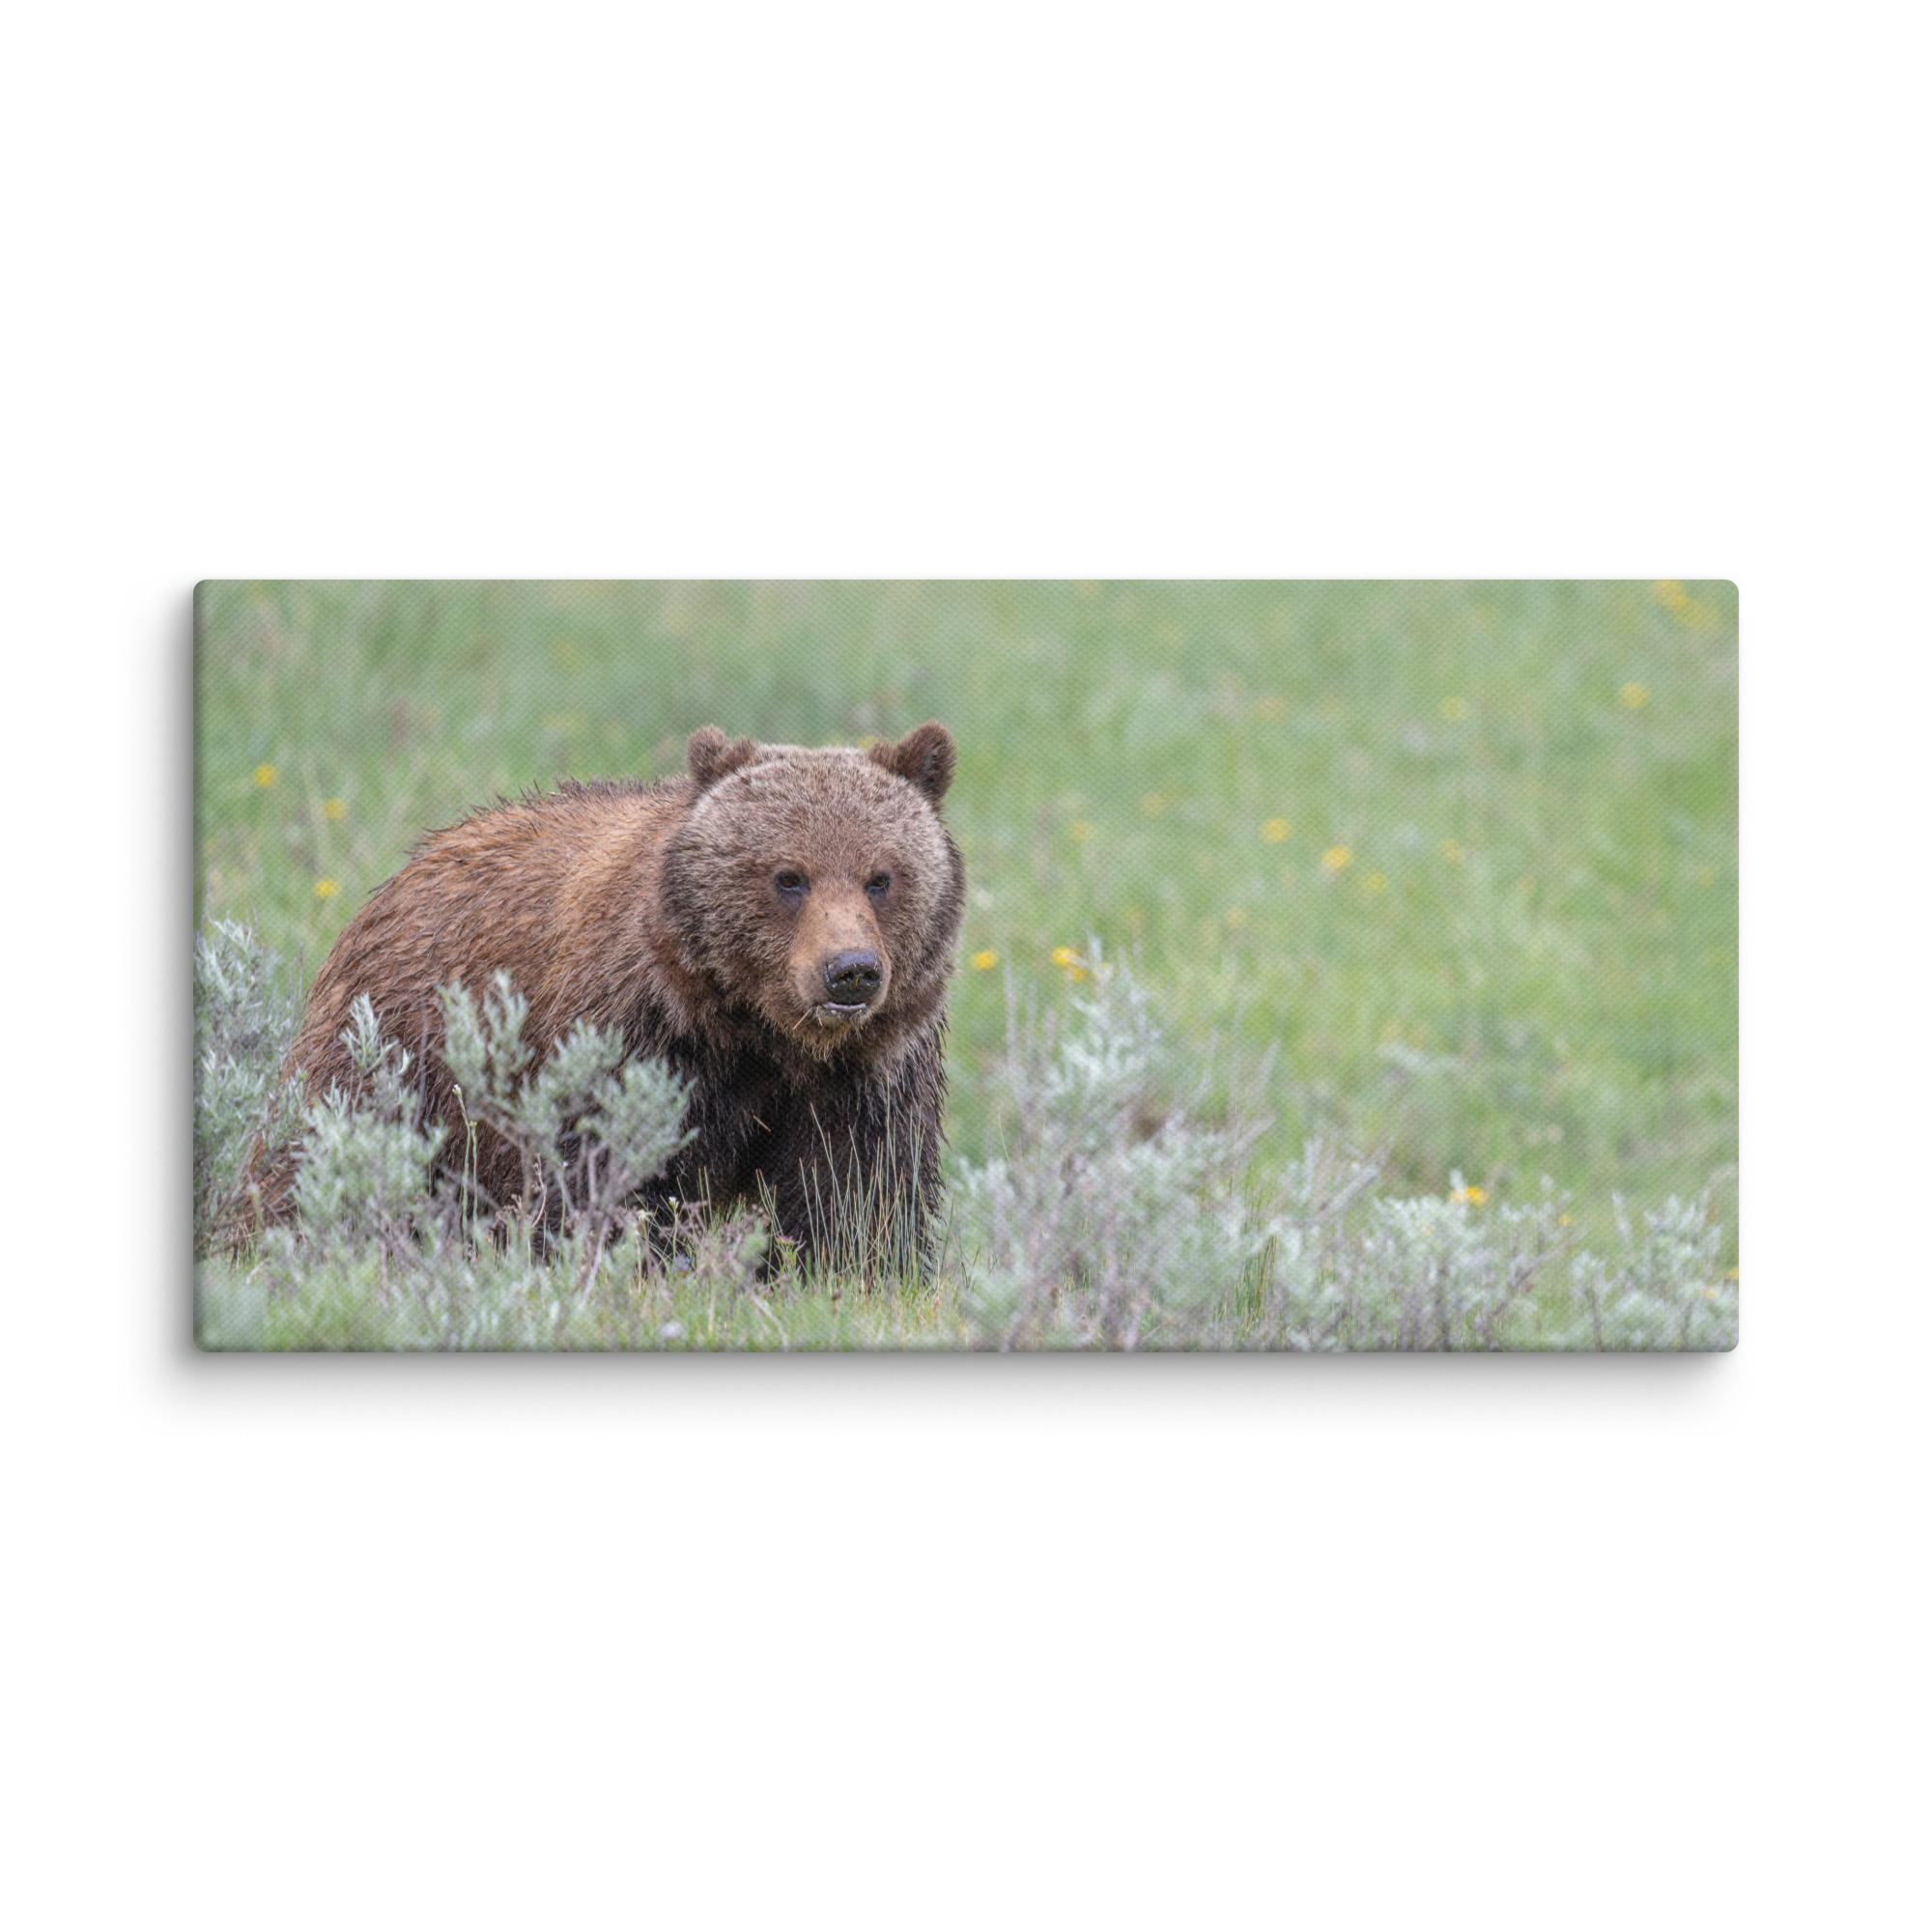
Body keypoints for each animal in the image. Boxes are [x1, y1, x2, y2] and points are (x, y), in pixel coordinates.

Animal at [262, 721, 965, 1276]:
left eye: (881, 877)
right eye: (788, 877)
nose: (850, 971)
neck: (758, 1029)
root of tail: (403, 870)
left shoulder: (867, 1069)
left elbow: (857, 1192)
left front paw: (847, 1272)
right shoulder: (637, 1035)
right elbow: (603, 1173)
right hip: (398, 1048)